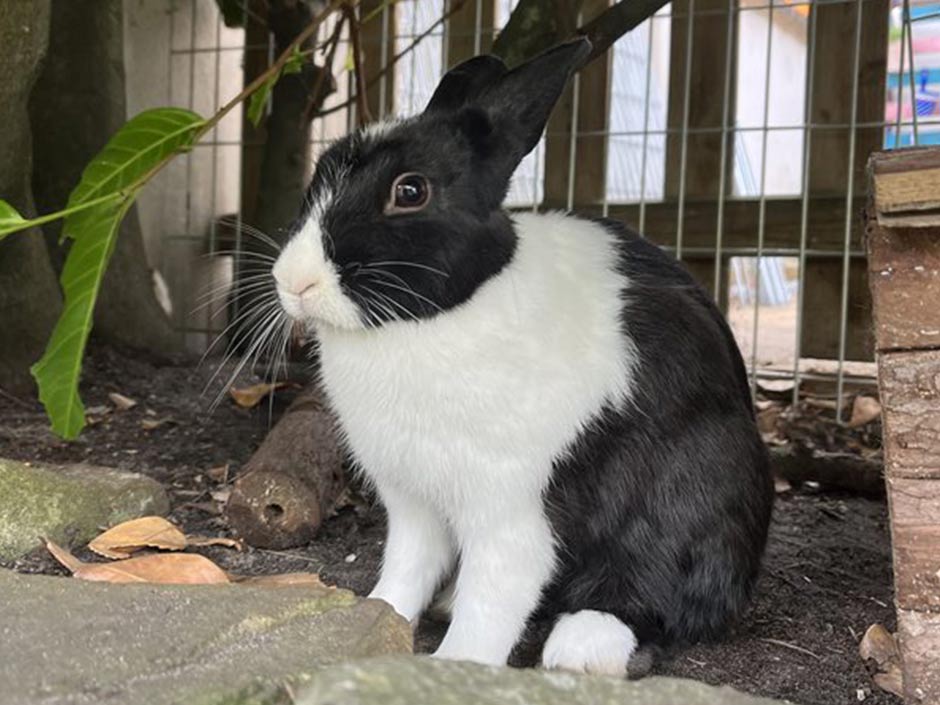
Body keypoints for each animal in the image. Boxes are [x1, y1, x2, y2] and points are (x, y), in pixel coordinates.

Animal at [270, 40, 772, 676]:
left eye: (410, 191)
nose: (295, 281)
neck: (426, 324)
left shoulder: (511, 508)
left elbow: (495, 595)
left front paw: (454, 665)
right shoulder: (413, 505)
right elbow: (406, 569)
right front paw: (372, 617)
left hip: (694, 486)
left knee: (665, 592)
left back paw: (584, 645)